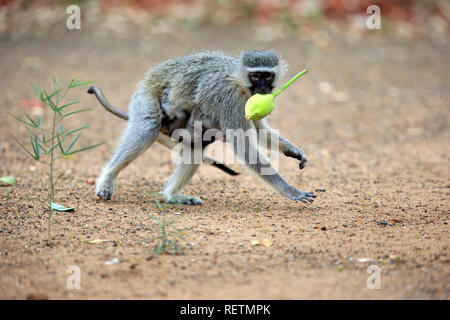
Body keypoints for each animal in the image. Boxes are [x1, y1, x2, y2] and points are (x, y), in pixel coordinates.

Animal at [87, 50, 312, 205]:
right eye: (256, 76)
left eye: (268, 76)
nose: (264, 89)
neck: (239, 81)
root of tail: (147, 81)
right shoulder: (230, 100)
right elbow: (244, 146)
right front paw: (291, 190)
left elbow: (259, 130)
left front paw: (292, 150)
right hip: (145, 99)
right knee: (149, 127)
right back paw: (107, 178)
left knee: (196, 145)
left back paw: (171, 196)